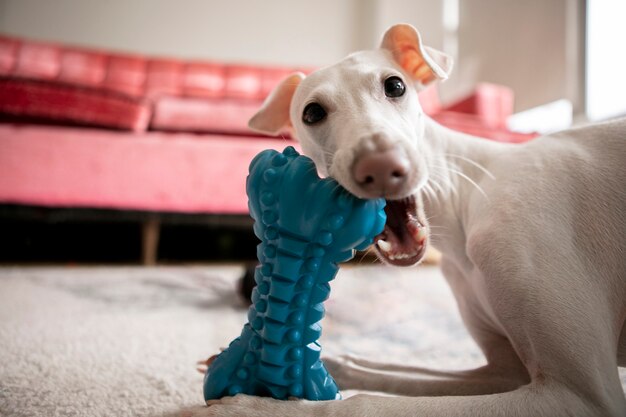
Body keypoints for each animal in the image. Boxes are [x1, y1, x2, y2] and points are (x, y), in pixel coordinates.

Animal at [202, 23, 620, 416]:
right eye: (312, 112)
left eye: (396, 85)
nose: (379, 165)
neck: (468, 200)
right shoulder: (505, 371)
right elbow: (404, 374)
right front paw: (335, 364)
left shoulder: (579, 395)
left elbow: (364, 404)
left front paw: (255, 406)